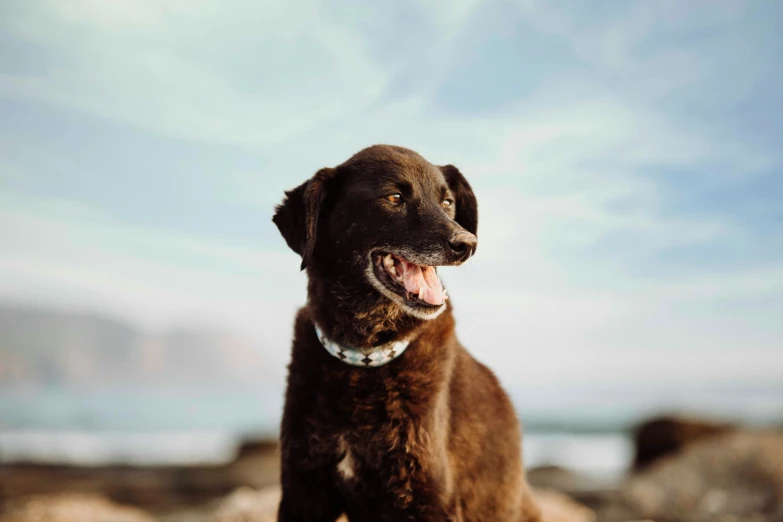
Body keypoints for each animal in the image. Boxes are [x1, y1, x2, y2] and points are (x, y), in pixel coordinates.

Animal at [272, 143, 540, 520]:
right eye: (394, 197)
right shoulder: (303, 491)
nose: (467, 243)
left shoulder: (429, 500)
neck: (364, 357)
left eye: (447, 202)